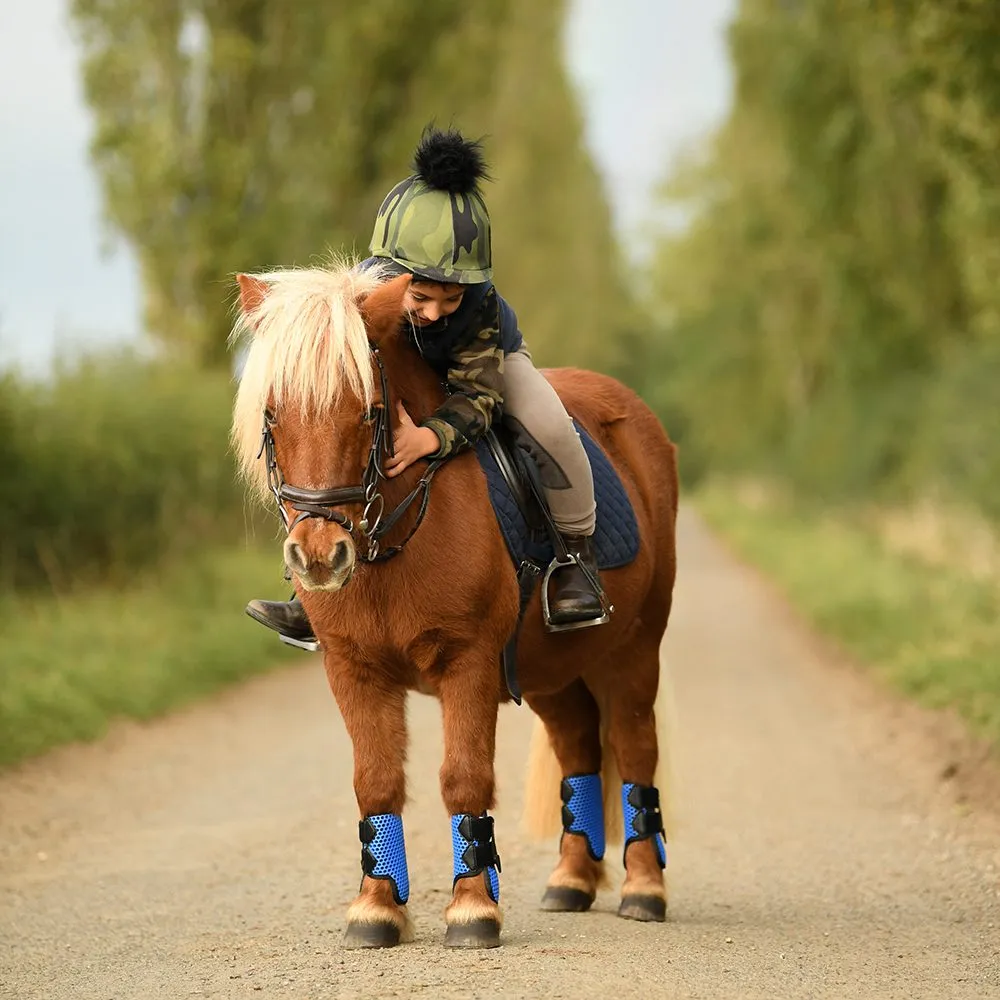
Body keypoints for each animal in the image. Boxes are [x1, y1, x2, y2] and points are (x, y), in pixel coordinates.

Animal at [229, 262, 680, 948]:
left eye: (368, 412)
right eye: (274, 414)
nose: (320, 557)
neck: (394, 542)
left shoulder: (467, 662)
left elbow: (464, 776)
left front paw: (473, 909)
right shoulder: (353, 668)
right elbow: (375, 780)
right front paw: (376, 908)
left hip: (634, 647)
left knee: (634, 749)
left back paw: (645, 889)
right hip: (552, 673)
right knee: (578, 747)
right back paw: (571, 881)